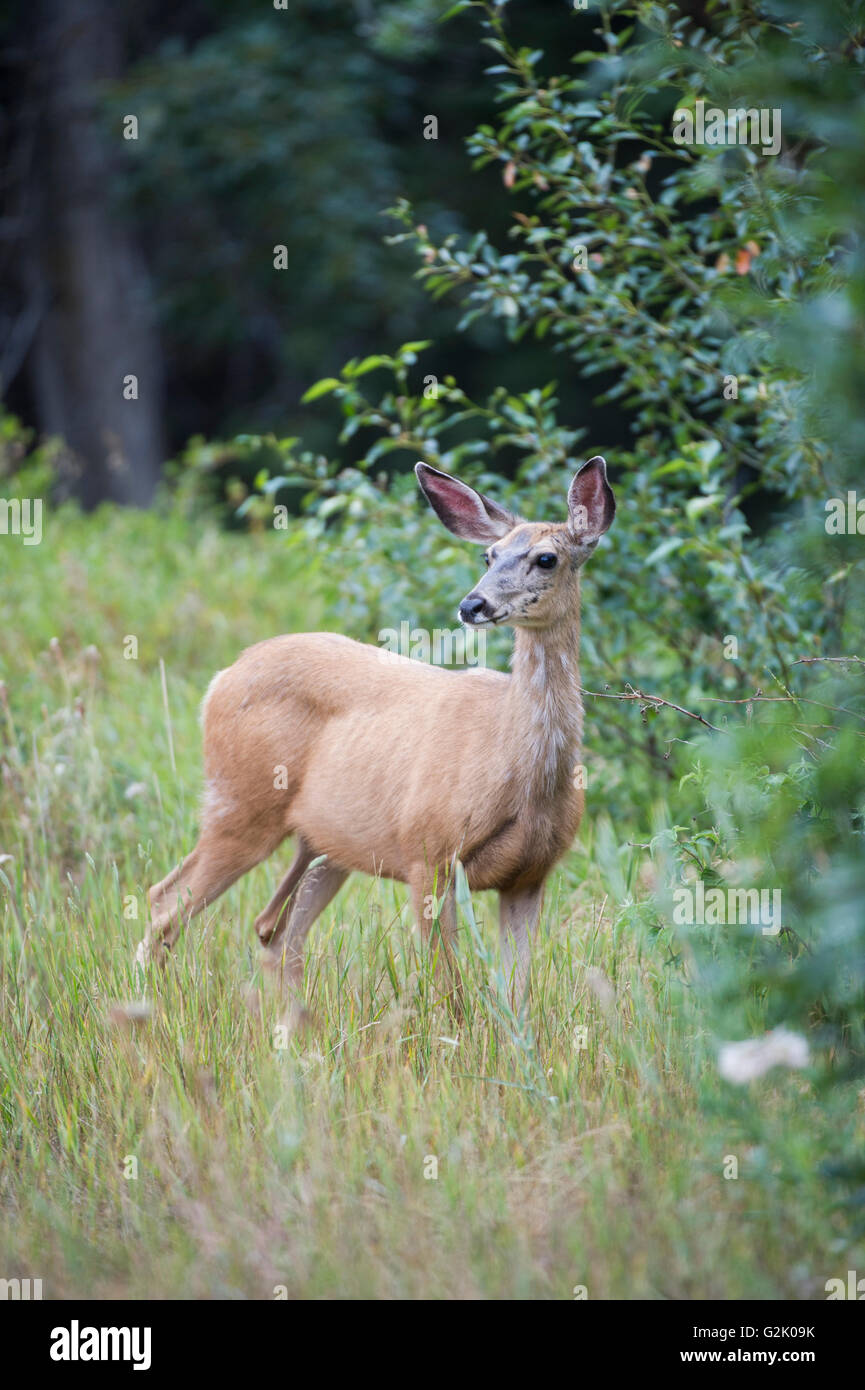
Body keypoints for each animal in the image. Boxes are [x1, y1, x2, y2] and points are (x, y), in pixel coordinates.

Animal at [136, 455, 617, 1023]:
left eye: (546, 558)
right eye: (489, 553)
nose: (472, 604)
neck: (518, 770)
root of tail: (220, 680)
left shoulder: (530, 874)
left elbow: (515, 997)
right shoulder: (427, 853)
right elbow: (449, 989)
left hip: (323, 842)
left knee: (274, 929)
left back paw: (292, 1028)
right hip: (240, 805)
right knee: (165, 900)